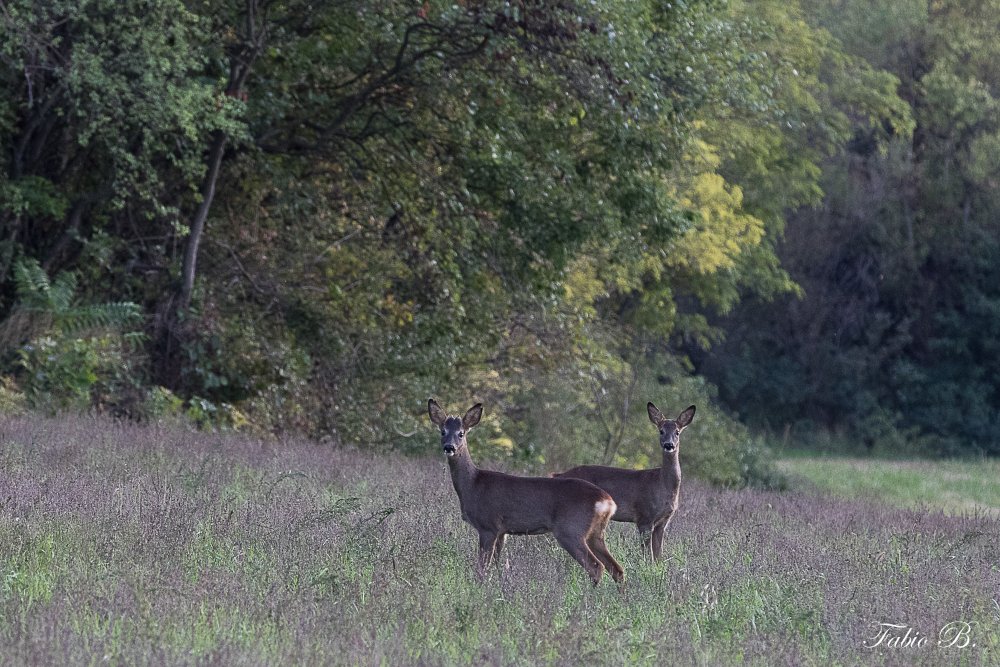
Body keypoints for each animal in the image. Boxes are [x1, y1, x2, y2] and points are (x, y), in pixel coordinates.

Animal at [427, 399, 625, 586]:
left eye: (461, 433)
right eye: (442, 431)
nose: (449, 447)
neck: (473, 485)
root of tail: (607, 501)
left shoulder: (488, 525)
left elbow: (482, 569)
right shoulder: (502, 531)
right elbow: (498, 566)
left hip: (571, 529)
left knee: (596, 566)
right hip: (596, 533)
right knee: (617, 569)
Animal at [551, 403, 695, 563]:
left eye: (677, 432)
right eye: (661, 431)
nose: (669, 445)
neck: (663, 485)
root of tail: (558, 475)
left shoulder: (663, 522)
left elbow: (658, 556)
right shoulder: (644, 517)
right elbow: (648, 556)